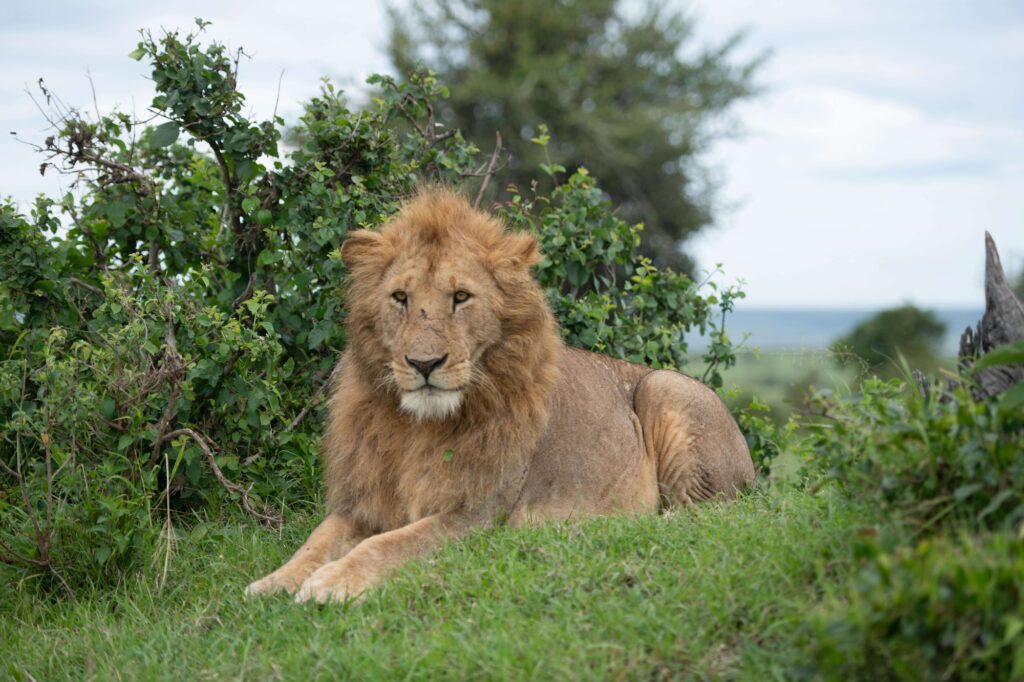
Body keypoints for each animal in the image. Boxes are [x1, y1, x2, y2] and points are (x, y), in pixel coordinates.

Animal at [246, 189, 755, 603]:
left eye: (461, 297)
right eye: (400, 298)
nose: (424, 364)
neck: (415, 426)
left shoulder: (476, 514)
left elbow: (390, 544)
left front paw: (332, 583)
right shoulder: (363, 501)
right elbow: (314, 542)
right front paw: (270, 583)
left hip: (665, 388)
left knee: (710, 512)